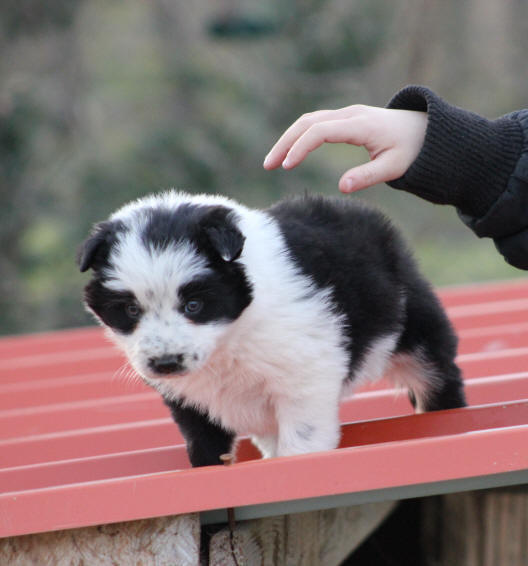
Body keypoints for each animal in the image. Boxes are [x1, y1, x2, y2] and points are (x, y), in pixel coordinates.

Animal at [78, 193, 466, 468]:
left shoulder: (304, 375)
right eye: (131, 309)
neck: (231, 339)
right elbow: (203, 445)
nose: (166, 363)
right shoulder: (189, 398)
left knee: (435, 376)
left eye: (194, 305)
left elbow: (303, 439)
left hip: (413, 326)